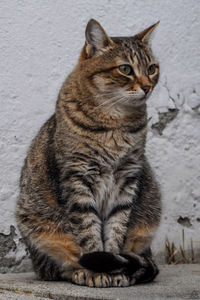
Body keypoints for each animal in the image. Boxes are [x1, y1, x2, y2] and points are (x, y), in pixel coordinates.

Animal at [16, 19, 162, 288]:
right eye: (125, 69)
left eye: (152, 68)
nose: (147, 86)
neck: (116, 125)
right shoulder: (77, 178)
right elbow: (88, 232)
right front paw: (97, 271)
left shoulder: (127, 178)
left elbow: (116, 229)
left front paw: (114, 269)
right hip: (36, 223)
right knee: (57, 267)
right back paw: (80, 271)